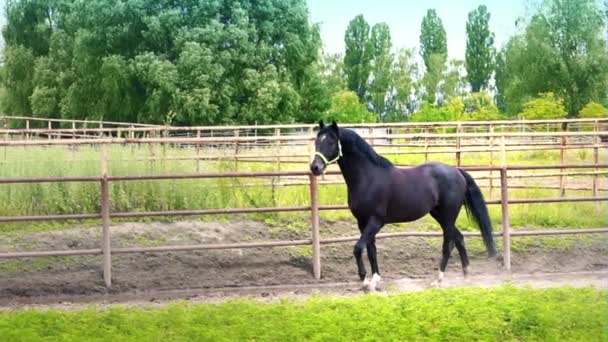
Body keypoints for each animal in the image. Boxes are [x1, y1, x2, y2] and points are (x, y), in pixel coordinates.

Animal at [312, 121, 496, 290]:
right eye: (317, 141)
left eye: (331, 142)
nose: (315, 167)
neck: (368, 178)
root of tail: (457, 172)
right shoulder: (362, 222)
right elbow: (371, 250)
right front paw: (374, 281)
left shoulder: (375, 221)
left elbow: (358, 248)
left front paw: (365, 281)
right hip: (440, 216)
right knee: (459, 239)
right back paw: (465, 275)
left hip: (448, 217)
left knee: (449, 243)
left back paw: (438, 280)